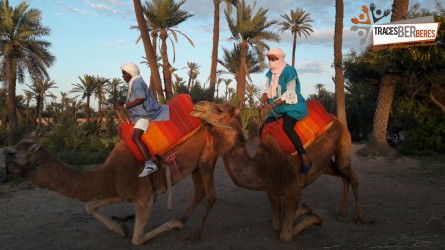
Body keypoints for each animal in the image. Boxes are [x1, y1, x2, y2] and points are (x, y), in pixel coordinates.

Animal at [0, 127, 219, 246]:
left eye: (12, 153)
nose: (4, 172)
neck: (110, 172)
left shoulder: (144, 198)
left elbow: (137, 239)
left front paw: (174, 223)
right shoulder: (119, 191)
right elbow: (89, 206)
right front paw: (121, 228)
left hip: (207, 157)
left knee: (209, 194)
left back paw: (192, 232)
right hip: (194, 165)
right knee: (200, 192)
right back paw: (185, 220)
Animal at [191, 101, 364, 242]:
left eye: (219, 110)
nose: (197, 105)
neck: (263, 167)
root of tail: (334, 117)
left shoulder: (294, 191)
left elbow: (285, 235)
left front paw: (315, 218)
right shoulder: (272, 191)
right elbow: (277, 224)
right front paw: (305, 209)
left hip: (343, 139)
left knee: (352, 175)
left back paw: (359, 218)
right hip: (325, 165)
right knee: (343, 176)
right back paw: (342, 213)